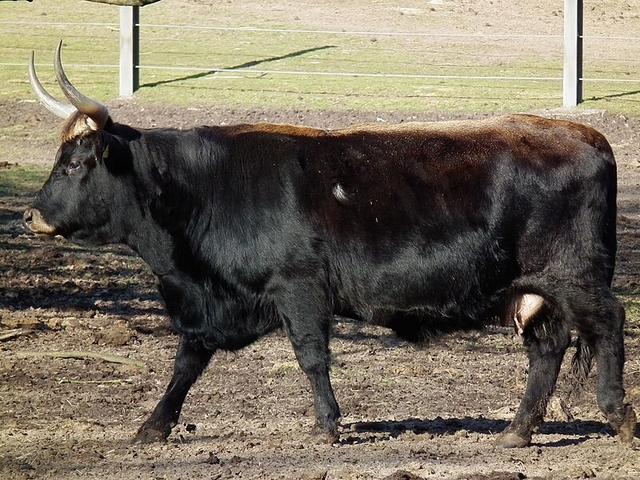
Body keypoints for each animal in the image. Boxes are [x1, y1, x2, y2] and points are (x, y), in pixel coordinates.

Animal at [24, 41, 636, 448]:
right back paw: (516, 431)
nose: (31, 214)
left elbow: (312, 357)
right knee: (548, 348)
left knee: (609, 322)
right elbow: (188, 361)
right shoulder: (214, 306)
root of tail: (585, 135)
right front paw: (152, 426)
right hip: (534, 292)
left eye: (75, 163)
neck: (209, 189)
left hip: (575, 278)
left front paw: (327, 426)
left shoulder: (299, 289)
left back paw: (617, 416)